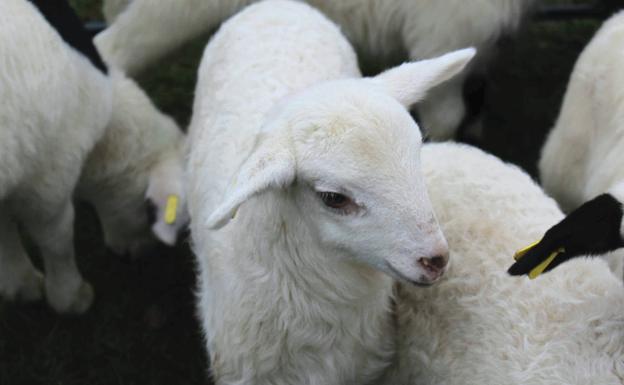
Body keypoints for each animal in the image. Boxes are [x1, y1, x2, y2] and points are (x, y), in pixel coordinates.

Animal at [0, 0, 188, 312]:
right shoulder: (48, 183)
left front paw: (19, 283)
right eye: (146, 211)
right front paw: (71, 298)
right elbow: (57, 240)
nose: (134, 255)